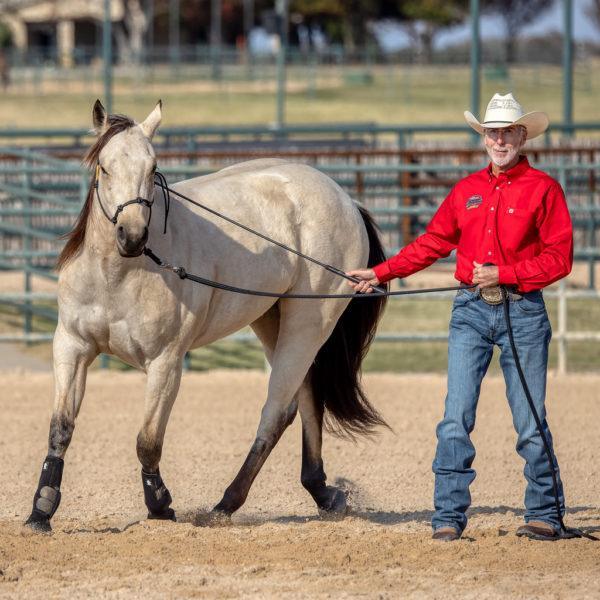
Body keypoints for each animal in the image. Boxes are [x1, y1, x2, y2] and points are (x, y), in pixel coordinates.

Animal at [25, 100, 388, 532]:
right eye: (104, 167)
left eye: (153, 167)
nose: (133, 236)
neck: (117, 275)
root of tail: (345, 200)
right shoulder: (72, 347)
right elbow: (60, 428)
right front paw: (41, 510)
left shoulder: (165, 362)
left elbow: (148, 440)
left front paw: (160, 506)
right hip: (272, 320)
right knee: (305, 398)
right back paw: (322, 492)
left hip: (308, 323)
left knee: (276, 411)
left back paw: (225, 505)